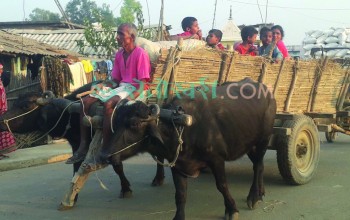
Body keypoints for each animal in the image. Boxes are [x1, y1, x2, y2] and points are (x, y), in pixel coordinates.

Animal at [0, 82, 165, 199]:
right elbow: (76, 166)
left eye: (25, 105)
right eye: (15, 102)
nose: (2, 120)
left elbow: (117, 165)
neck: (69, 113)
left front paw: (125, 189)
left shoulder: (113, 145)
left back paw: (158, 178)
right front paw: (73, 195)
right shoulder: (77, 145)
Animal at [98, 78, 276, 220]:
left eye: (134, 124)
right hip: (249, 143)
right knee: (259, 165)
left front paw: (232, 209)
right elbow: (180, 194)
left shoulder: (217, 159)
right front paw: (178, 216)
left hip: (263, 139)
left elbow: (222, 185)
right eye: (116, 121)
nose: (104, 155)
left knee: (257, 166)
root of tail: (265, 90)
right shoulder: (177, 164)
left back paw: (254, 196)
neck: (182, 127)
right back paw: (261, 192)